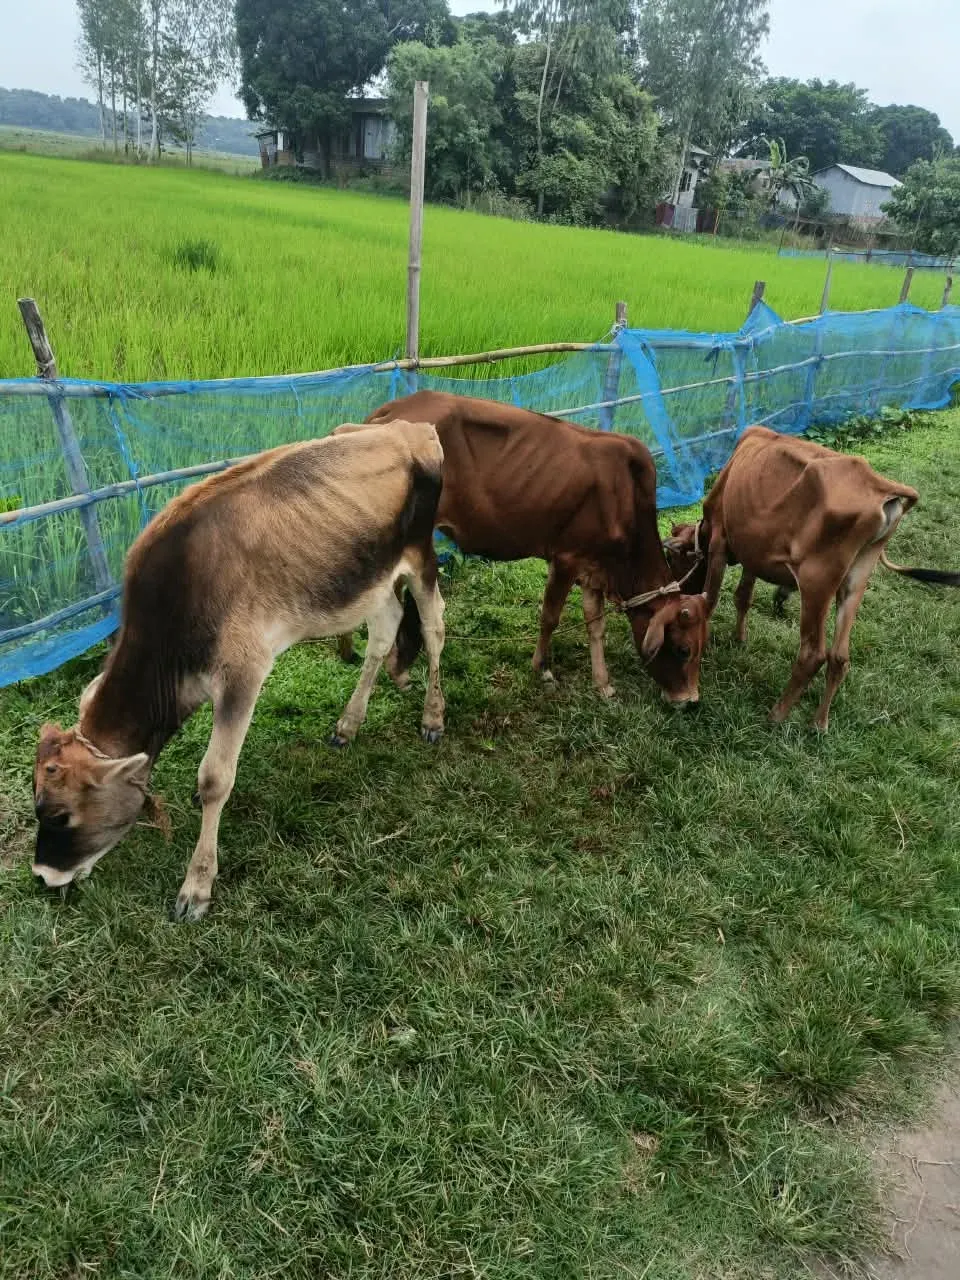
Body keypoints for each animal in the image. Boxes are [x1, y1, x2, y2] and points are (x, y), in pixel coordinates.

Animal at [32, 421, 446, 921]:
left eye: (60, 814)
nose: (42, 876)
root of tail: (408, 427)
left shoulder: (242, 674)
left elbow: (215, 777)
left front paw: (196, 887)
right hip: (371, 578)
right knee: (385, 630)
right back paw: (347, 725)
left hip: (421, 554)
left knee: (435, 625)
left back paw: (433, 717)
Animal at [337, 391, 709, 705]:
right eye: (682, 649)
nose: (689, 700)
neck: (626, 498)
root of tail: (390, 411)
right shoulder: (565, 559)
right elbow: (550, 616)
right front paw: (543, 668)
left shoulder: (594, 568)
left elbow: (595, 625)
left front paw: (603, 683)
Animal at [664, 425, 960, 731]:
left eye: (672, 559)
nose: (680, 592)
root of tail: (880, 485)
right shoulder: (753, 551)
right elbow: (743, 596)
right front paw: (740, 639)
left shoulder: (721, 542)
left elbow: (711, 600)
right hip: (856, 580)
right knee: (840, 656)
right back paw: (819, 723)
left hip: (816, 581)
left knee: (813, 654)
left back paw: (776, 715)